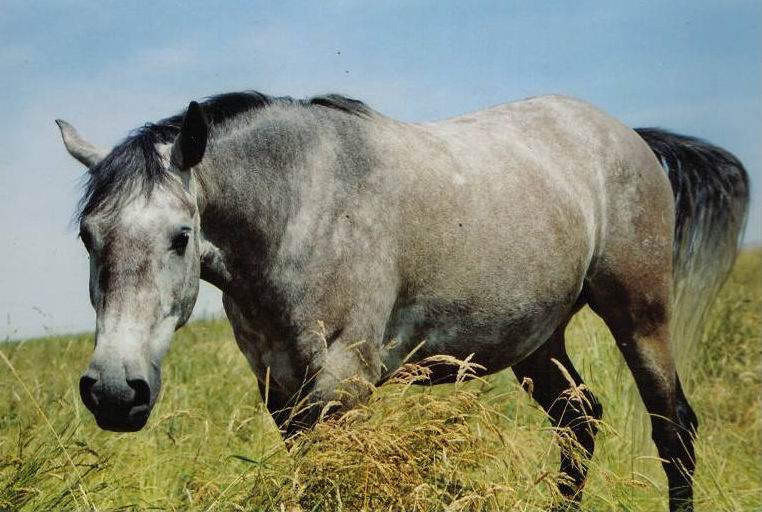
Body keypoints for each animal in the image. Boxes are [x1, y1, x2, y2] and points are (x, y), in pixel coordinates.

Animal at [56, 90, 744, 510]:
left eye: (180, 235)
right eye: (89, 236)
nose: (114, 391)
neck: (303, 204)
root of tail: (627, 136)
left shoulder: (342, 384)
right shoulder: (281, 390)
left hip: (639, 315)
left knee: (672, 428)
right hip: (536, 340)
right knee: (578, 420)